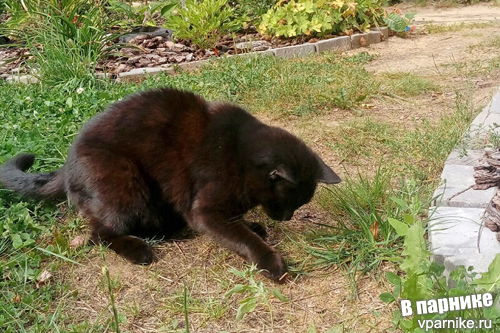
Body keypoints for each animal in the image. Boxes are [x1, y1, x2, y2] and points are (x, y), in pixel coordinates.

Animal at [0, 87, 340, 280]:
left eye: (298, 205)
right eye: (288, 202)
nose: (287, 218)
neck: (241, 156)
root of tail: (67, 165)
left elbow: (236, 226)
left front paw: (252, 225)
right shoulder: (206, 207)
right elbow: (239, 236)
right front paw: (269, 260)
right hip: (123, 180)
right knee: (100, 233)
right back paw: (140, 250)